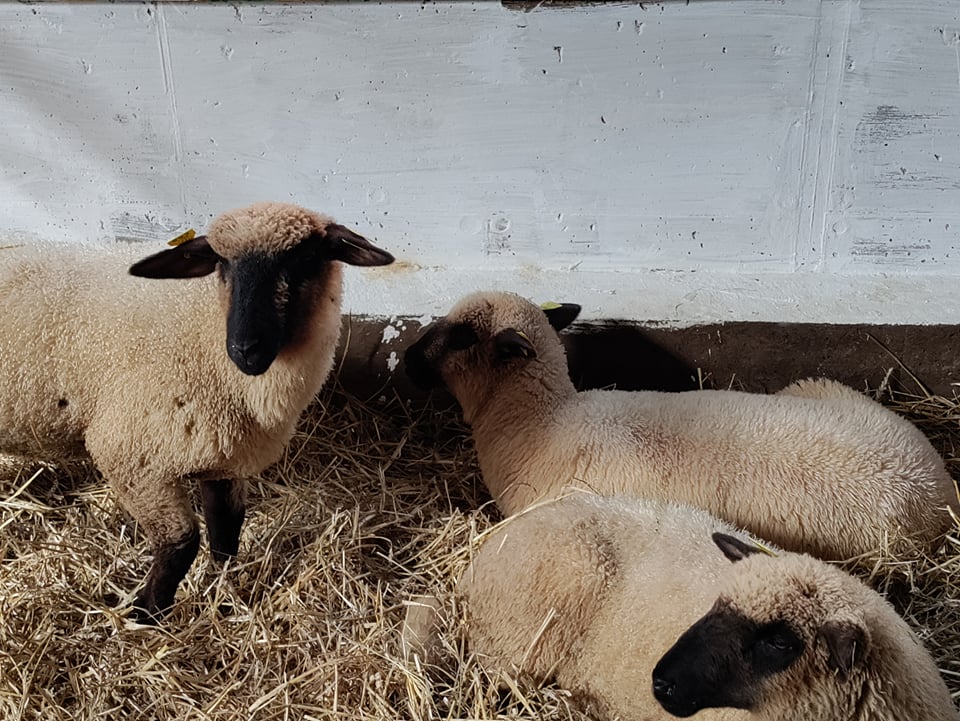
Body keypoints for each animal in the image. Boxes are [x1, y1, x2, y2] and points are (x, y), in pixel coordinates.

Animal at [0, 201, 394, 620]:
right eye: (221, 263)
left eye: (304, 259)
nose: (245, 349)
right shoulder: (132, 456)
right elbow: (182, 544)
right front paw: (148, 614)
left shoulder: (223, 459)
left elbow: (226, 533)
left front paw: (222, 594)